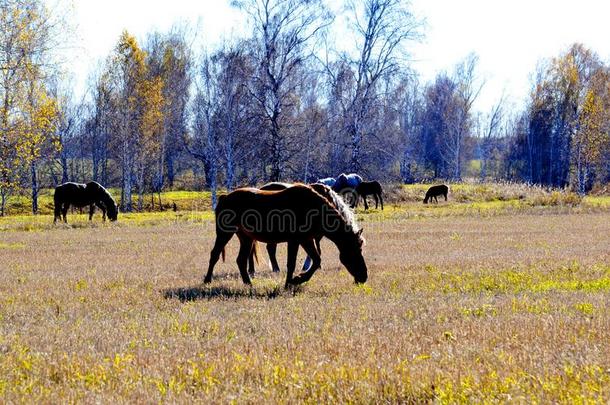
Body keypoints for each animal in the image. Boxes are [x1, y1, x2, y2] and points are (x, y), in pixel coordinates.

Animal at [204, 183, 366, 288]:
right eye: (354, 251)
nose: (364, 277)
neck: (312, 209)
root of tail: (224, 197)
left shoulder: (307, 240)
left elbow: (316, 260)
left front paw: (297, 279)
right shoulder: (295, 241)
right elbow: (292, 263)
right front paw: (291, 282)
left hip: (246, 238)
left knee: (241, 260)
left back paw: (248, 283)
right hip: (224, 233)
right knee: (215, 254)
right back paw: (207, 280)